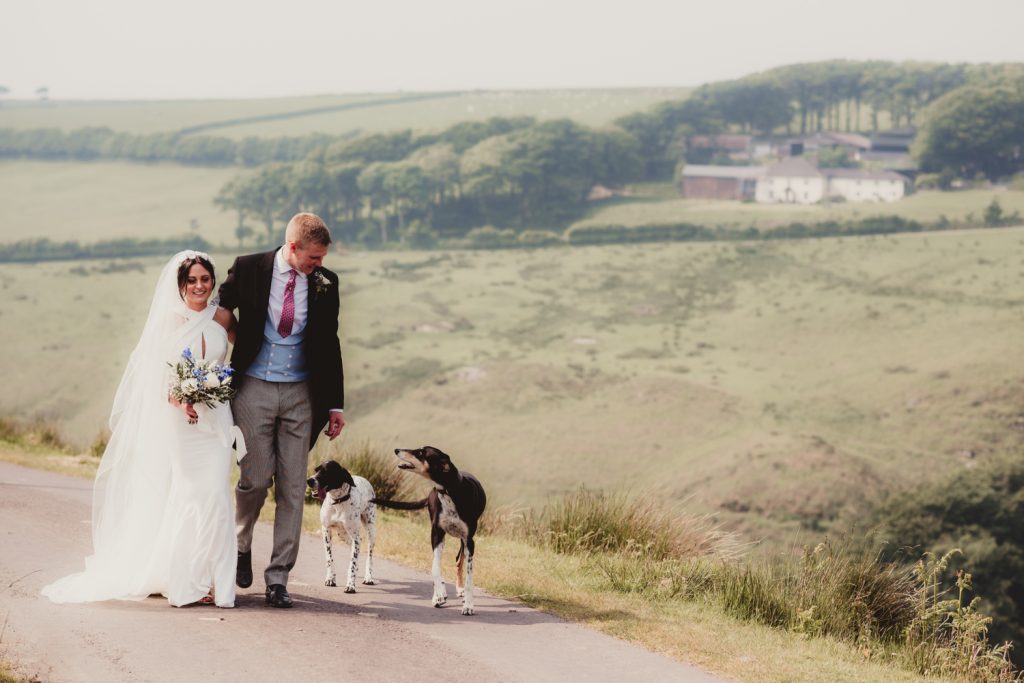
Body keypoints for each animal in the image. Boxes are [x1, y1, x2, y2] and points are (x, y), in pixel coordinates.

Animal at [372, 446, 487, 618]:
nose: (396, 449)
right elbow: (435, 568)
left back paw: (459, 590)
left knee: (459, 561)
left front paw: (468, 605)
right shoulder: (436, 535)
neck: (449, 491)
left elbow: (469, 578)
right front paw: (439, 595)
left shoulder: (469, 541)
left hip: (462, 540)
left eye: (421, 453)